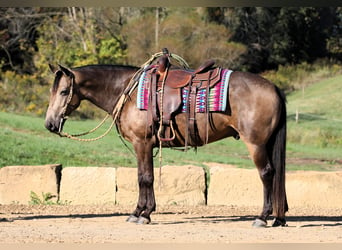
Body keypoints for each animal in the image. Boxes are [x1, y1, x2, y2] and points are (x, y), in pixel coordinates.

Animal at [44, 50, 288, 227]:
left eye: (64, 92)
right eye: (52, 91)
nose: (50, 124)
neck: (128, 92)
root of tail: (274, 87)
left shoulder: (142, 143)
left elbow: (145, 178)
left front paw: (142, 214)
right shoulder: (146, 145)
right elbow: (144, 176)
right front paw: (142, 212)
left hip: (256, 144)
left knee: (267, 174)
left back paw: (262, 217)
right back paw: (278, 217)